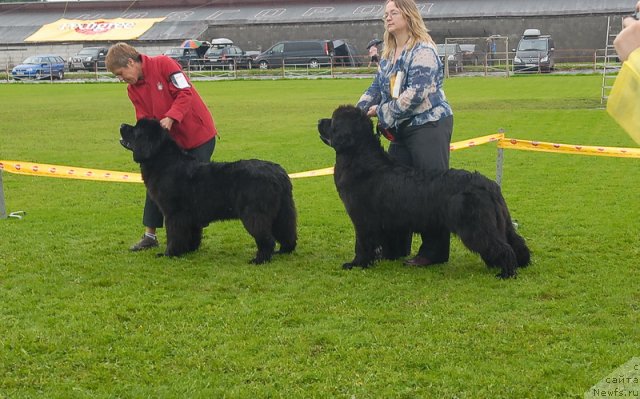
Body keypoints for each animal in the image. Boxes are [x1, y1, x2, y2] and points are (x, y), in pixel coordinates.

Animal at [119, 117, 298, 264]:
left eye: (136, 130)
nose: (121, 125)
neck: (163, 161)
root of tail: (279, 172)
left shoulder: (174, 213)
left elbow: (174, 234)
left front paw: (169, 253)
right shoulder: (190, 216)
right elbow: (191, 233)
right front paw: (189, 249)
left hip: (254, 213)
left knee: (267, 238)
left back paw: (259, 259)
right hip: (283, 210)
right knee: (288, 231)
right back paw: (284, 250)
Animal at [318, 105, 532, 278]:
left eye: (333, 121)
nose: (319, 121)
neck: (359, 159)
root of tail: (488, 185)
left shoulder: (363, 219)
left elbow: (362, 243)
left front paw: (356, 264)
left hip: (476, 226)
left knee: (501, 246)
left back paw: (507, 273)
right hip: (500, 222)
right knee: (515, 241)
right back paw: (523, 263)